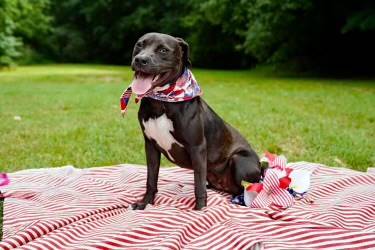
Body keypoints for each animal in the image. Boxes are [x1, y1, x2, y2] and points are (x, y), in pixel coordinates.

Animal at [129, 32, 262, 210]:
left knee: (247, 189)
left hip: (239, 161)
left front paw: (200, 210)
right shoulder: (150, 146)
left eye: (163, 50)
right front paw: (146, 203)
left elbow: (198, 183)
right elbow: (151, 178)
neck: (161, 102)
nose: (140, 59)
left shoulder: (197, 147)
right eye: (139, 45)